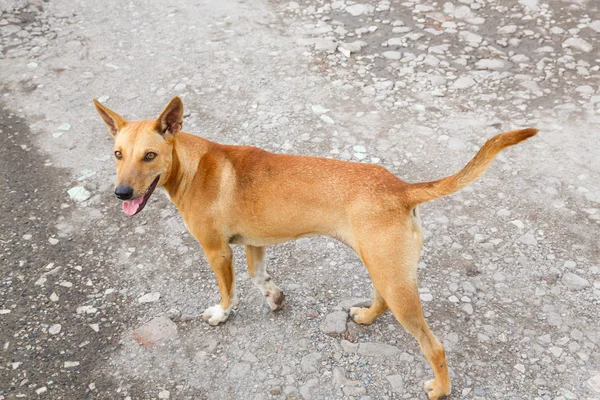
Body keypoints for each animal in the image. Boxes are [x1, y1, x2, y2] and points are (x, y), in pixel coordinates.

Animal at [95, 95, 540, 398]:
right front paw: (274, 298)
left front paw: (221, 314)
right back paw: (364, 317)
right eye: (117, 154)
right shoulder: (253, 243)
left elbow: (228, 291)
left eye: (149, 155)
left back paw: (440, 389)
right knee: (381, 299)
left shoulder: (217, 250)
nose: (121, 194)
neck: (190, 165)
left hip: (395, 280)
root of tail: (400, 188)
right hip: (383, 267)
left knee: (435, 346)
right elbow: (258, 278)